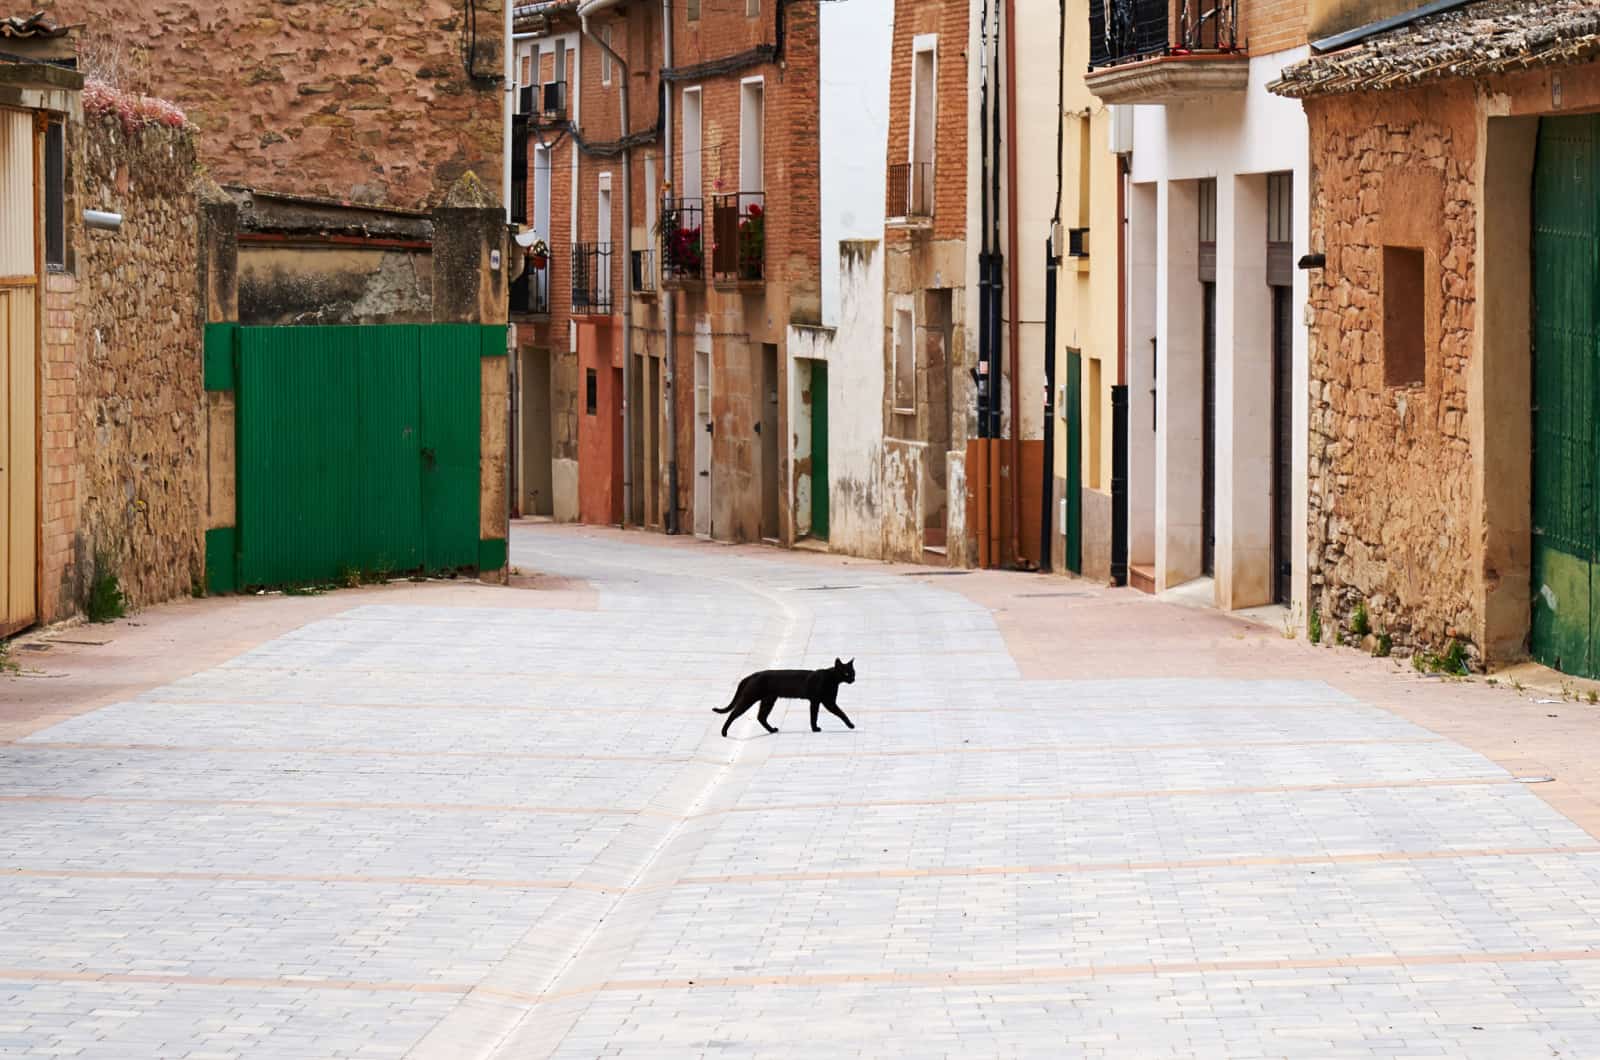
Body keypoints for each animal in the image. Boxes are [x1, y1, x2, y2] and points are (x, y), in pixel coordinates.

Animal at [720, 656, 857, 739]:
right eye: (846, 673)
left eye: (853, 672)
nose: (853, 679)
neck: (832, 679)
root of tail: (754, 674)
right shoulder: (825, 702)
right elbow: (838, 713)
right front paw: (850, 725)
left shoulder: (823, 701)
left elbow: (821, 715)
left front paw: (815, 728)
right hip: (750, 698)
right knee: (733, 713)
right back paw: (724, 732)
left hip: (769, 700)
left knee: (761, 717)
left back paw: (772, 730)